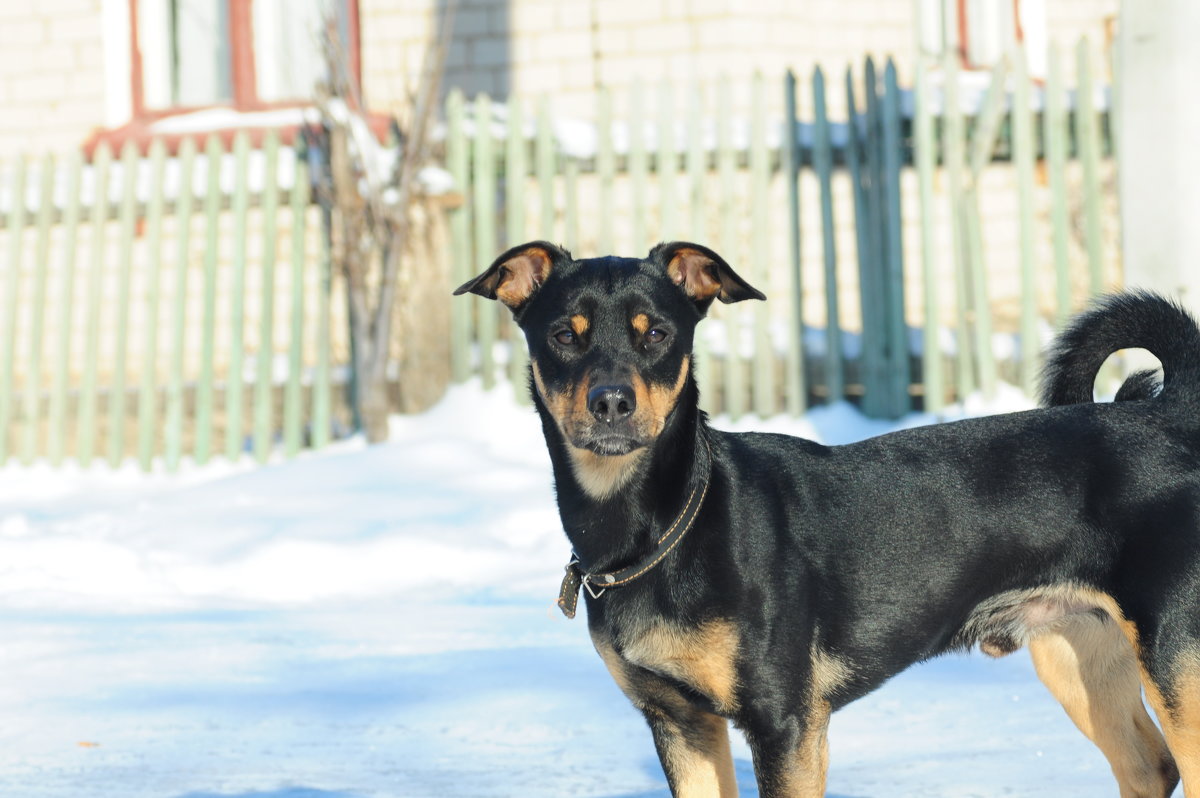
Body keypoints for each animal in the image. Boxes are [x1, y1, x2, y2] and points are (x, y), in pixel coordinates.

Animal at [453, 242, 1195, 796]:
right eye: (562, 336)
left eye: (657, 333)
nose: (611, 403)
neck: (663, 528)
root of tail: (1170, 415)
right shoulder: (680, 724)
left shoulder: (785, 723)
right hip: (1078, 654)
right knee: (1151, 770)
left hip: (1175, 666)